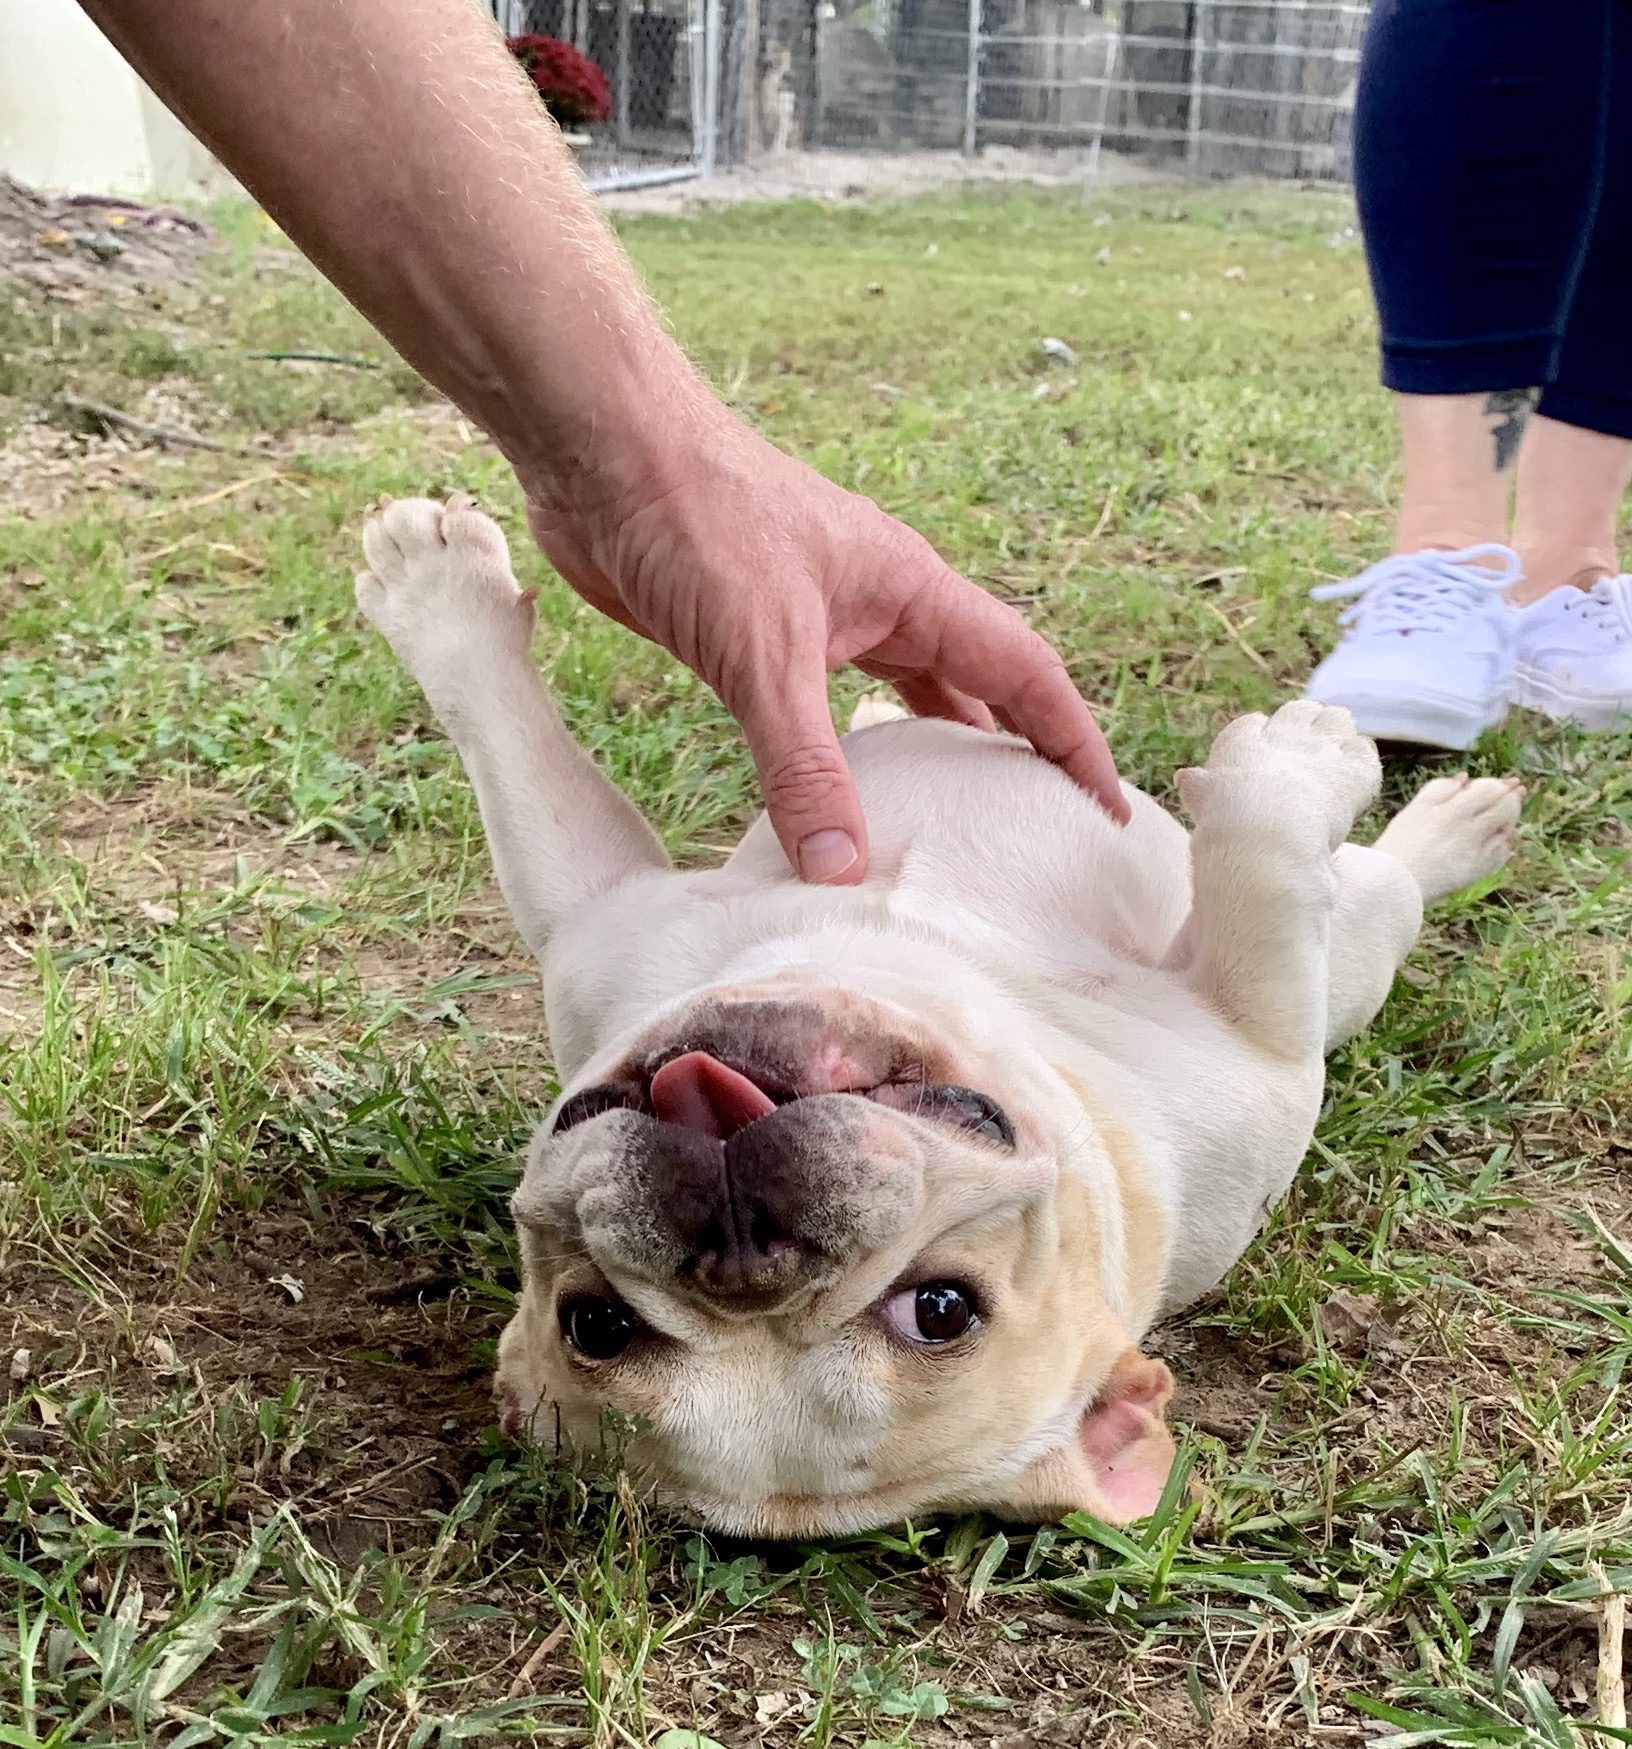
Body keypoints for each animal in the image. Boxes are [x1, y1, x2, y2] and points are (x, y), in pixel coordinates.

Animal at [356, 493, 1518, 1532]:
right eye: (592, 1323)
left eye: (942, 1309)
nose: (744, 1246)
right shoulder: (595, 919)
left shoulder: (592, 919)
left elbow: (518, 760)